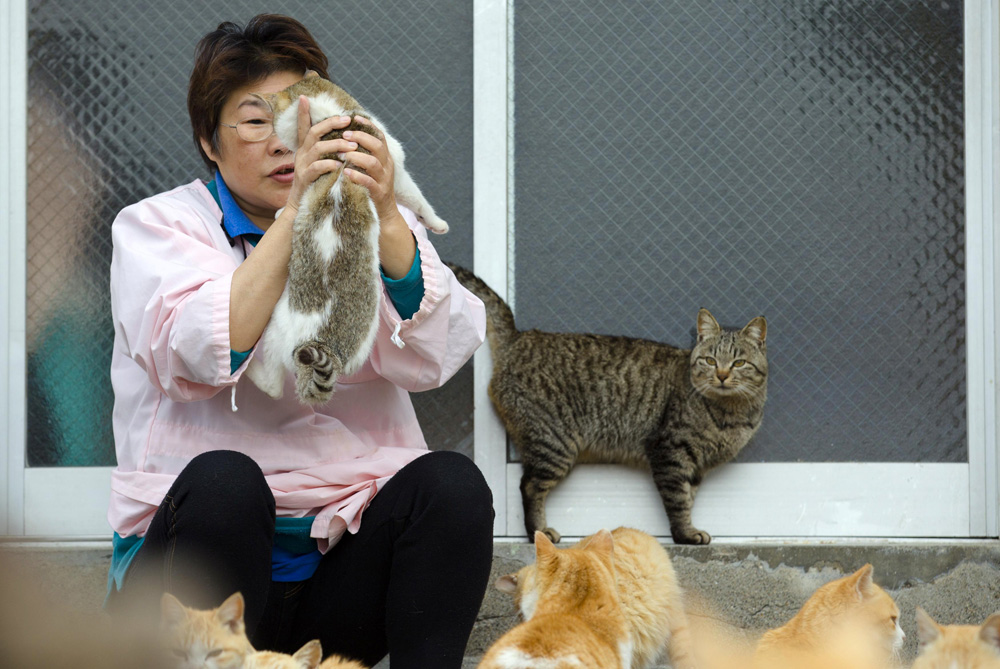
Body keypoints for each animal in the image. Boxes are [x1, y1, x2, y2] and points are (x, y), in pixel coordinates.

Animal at [244, 75, 448, 404]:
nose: (277, 145)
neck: (332, 123)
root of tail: (324, 345)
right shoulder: (396, 167)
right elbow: (417, 198)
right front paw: (437, 222)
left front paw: (279, 213)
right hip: (284, 327)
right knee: (273, 386)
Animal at [450, 262, 768, 544]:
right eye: (710, 360)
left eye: (739, 362)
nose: (722, 375)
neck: (731, 413)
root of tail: (520, 337)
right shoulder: (670, 452)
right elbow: (678, 500)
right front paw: (685, 535)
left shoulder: (695, 468)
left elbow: (689, 497)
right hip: (554, 444)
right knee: (528, 486)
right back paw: (538, 532)